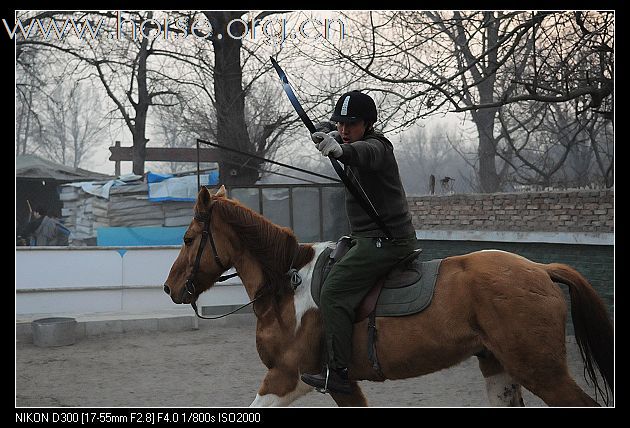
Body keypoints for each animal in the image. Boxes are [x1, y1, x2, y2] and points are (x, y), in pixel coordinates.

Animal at [164, 187, 616, 408]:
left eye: (187, 238)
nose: (170, 288)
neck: (287, 285)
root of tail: (539, 269)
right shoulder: (342, 386)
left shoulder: (285, 377)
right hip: (499, 369)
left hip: (542, 373)